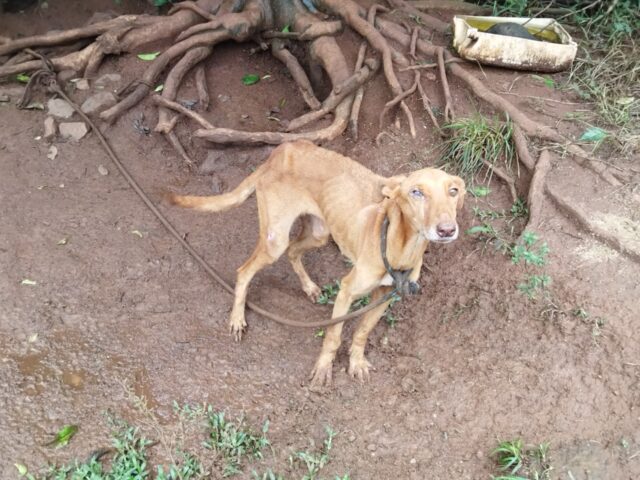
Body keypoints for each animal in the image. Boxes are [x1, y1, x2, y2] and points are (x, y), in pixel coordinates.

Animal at [166, 141, 464, 388]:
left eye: (453, 191)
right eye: (416, 192)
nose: (447, 230)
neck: (401, 245)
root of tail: (281, 150)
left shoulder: (385, 295)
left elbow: (362, 332)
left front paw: (356, 363)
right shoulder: (347, 291)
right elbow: (333, 336)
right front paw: (323, 370)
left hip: (319, 233)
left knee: (293, 252)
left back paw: (308, 287)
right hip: (275, 239)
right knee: (244, 270)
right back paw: (237, 318)